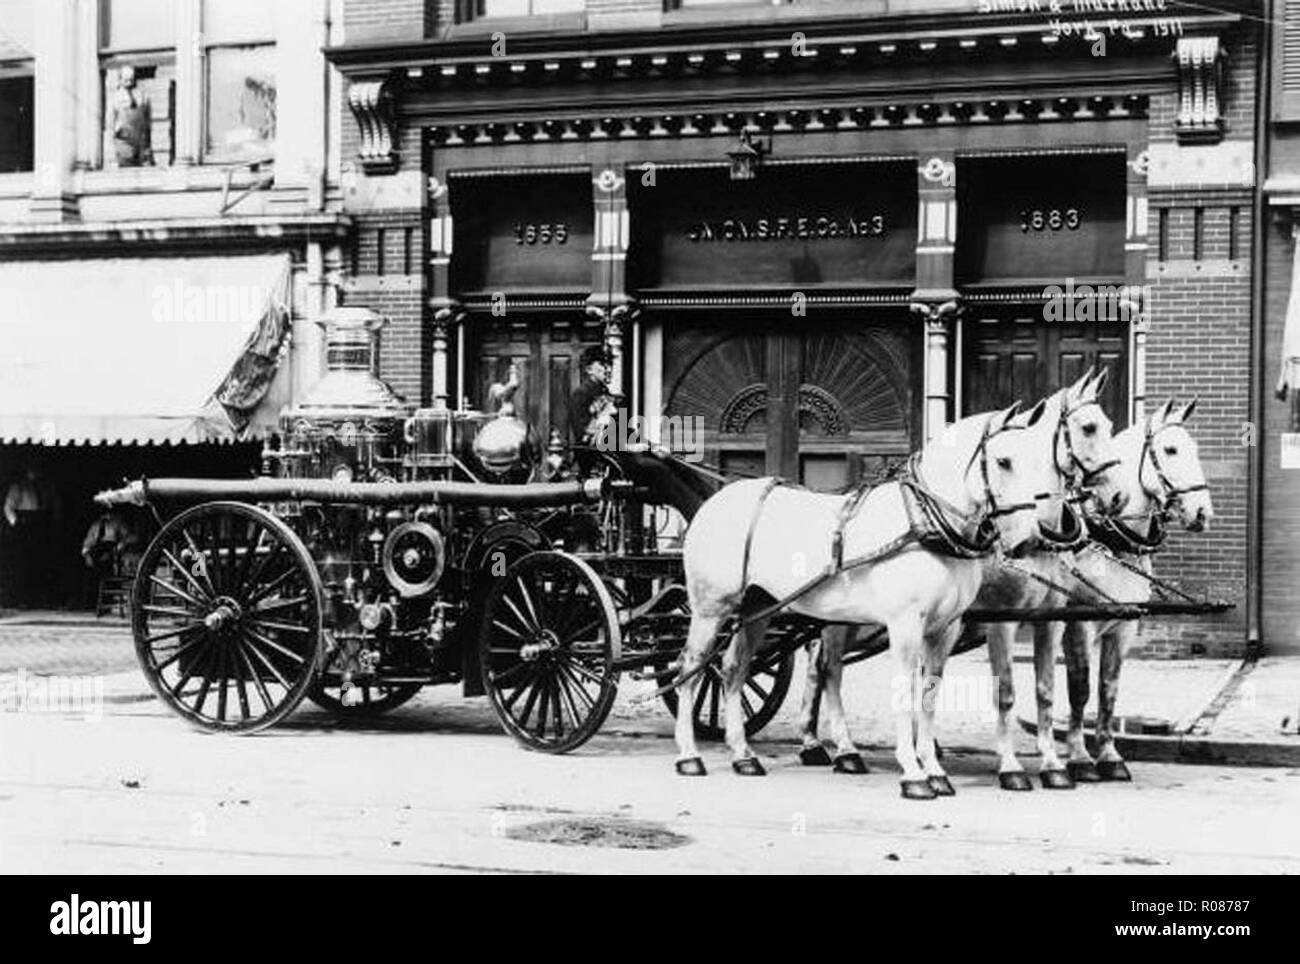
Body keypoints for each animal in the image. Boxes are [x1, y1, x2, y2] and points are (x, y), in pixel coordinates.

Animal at [676, 400, 1060, 800]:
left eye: (1041, 460)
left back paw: (743, 755)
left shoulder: (944, 629)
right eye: (1003, 461)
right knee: (690, 668)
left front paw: (935, 771)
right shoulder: (905, 624)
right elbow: (904, 693)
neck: (925, 523)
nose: (1031, 540)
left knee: (733, 670)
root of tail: (716, 501)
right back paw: (690, 756)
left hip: (758, 608)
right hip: (710, 609)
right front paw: (913, 774)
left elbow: (928, 695)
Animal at [790, 374, 1128, 789]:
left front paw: (1052, 765)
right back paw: (842, 750)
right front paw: (1010, 767)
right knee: (829, 671)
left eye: (1108, 425)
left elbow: (1046, 690)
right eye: (1089, 427)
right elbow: (1005, 691)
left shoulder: (1047, 619)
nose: (1119, 496)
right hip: (838, 621)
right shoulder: (1002, 621)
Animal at [1055, 400, 1216, 784]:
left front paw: (1109, 755)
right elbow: (1080, 689)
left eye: (1194, 448)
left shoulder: (1124, 627)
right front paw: (1079, 757)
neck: (1107, 537)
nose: (1203, 512)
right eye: (1170, 449)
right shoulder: (1079, 626)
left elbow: (1108, 689)